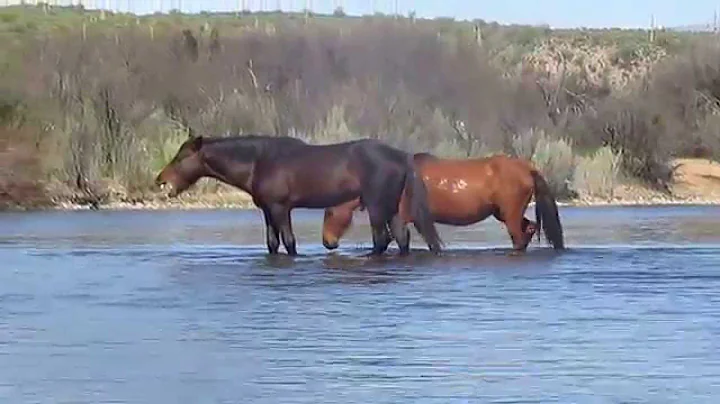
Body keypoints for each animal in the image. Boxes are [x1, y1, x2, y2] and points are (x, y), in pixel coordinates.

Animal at [155, 135, 442, 256]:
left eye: (181, 157)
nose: (160, 180)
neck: (259, 160)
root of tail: (402, 155)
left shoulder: (281, 208)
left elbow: (289, 242)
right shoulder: (268, 210)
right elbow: (272, 243)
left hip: (376, 205)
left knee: (382, 239)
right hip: (392, 206)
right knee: (401, 238)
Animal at [324, 153, 564, 254]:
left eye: (330, 213)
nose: (328, 242)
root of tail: (528, 168)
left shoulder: (404, 218)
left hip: (510, 214)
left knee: (519, 237)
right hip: (504, 213)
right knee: (529, 228)